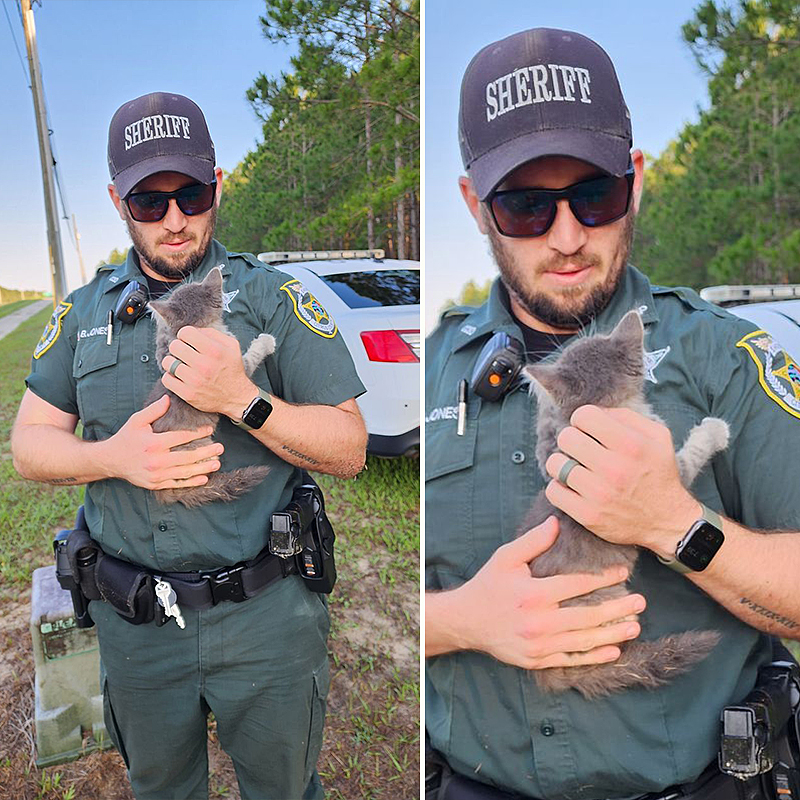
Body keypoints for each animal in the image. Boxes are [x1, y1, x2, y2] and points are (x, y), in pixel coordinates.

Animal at [145, 268, 278, 506]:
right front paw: (265, 342)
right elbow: (252, 356)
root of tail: (163, 492)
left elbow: (163, 347)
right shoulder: (238, 363)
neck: (200, 331)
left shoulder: (166, 354)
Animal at [520, 310, 728, 696]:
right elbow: (691, 455)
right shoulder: (668, 464)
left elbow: (549, 439)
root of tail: (547, 672)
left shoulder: (553, 451)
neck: (608, 412)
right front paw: (713, 431)